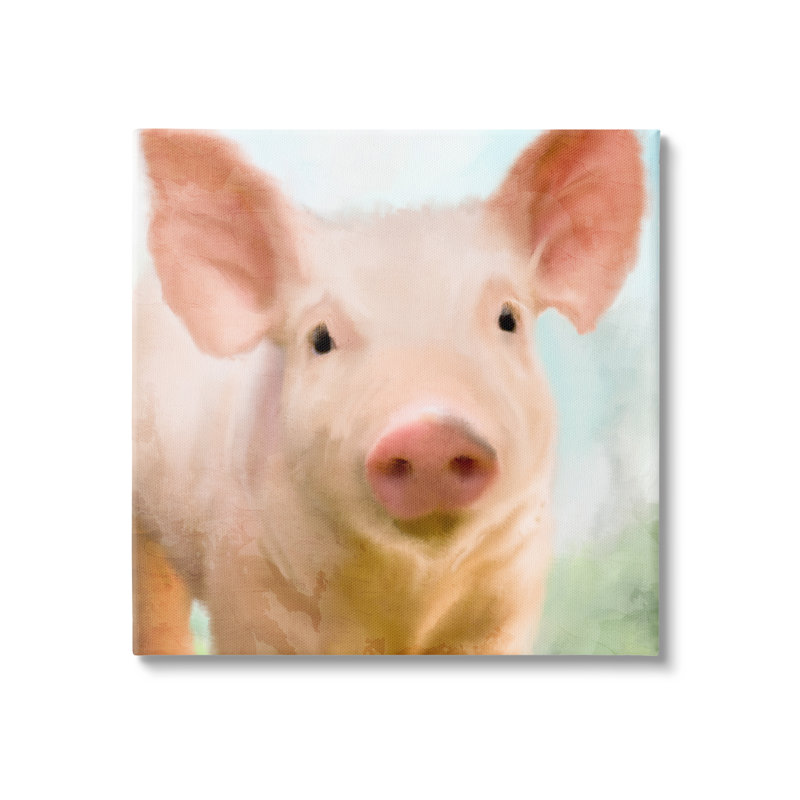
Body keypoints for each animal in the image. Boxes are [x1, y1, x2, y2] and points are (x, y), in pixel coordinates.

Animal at [133, 130, 645, 655]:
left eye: (509, 318)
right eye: (320, 338)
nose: (431, 432)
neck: (408, 599)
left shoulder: (509, 600)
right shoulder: (244, 586)